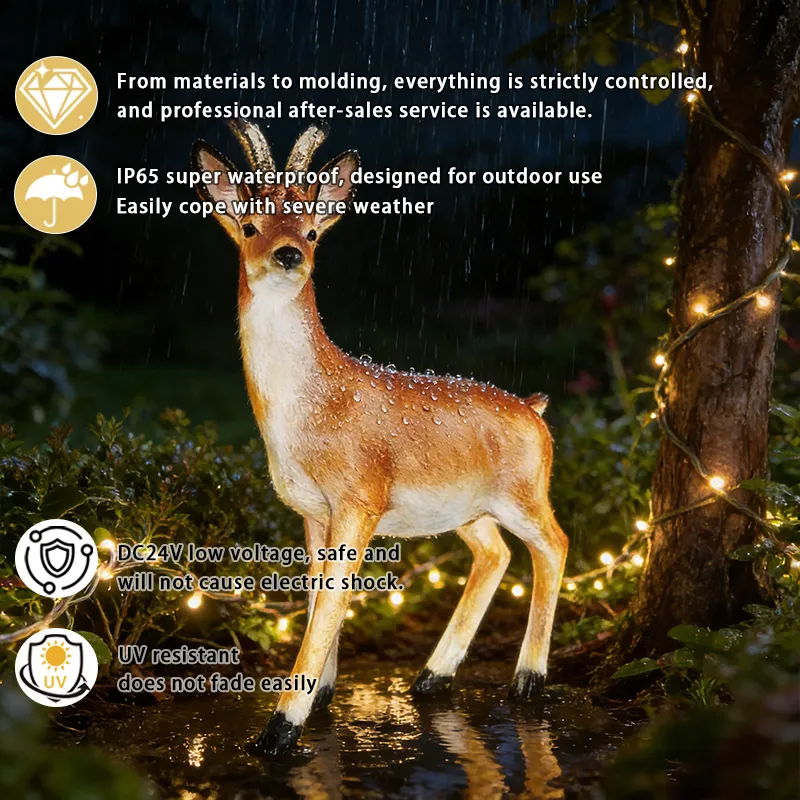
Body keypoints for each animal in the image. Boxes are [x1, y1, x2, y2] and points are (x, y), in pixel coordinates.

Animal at [191, 122, 568, 755]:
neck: (310, 411)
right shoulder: (311, 509)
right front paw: (319, 696)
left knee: (554, 544)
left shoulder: (359, 497)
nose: (289, 255)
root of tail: (534, 409)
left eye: (311, 229)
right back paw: (432, 676)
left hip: (524, 491)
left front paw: (279, 729)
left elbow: (332, 599)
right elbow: (318, 594)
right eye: (250, 225)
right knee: (495, 553)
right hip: (468, 507)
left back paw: (527, 680)